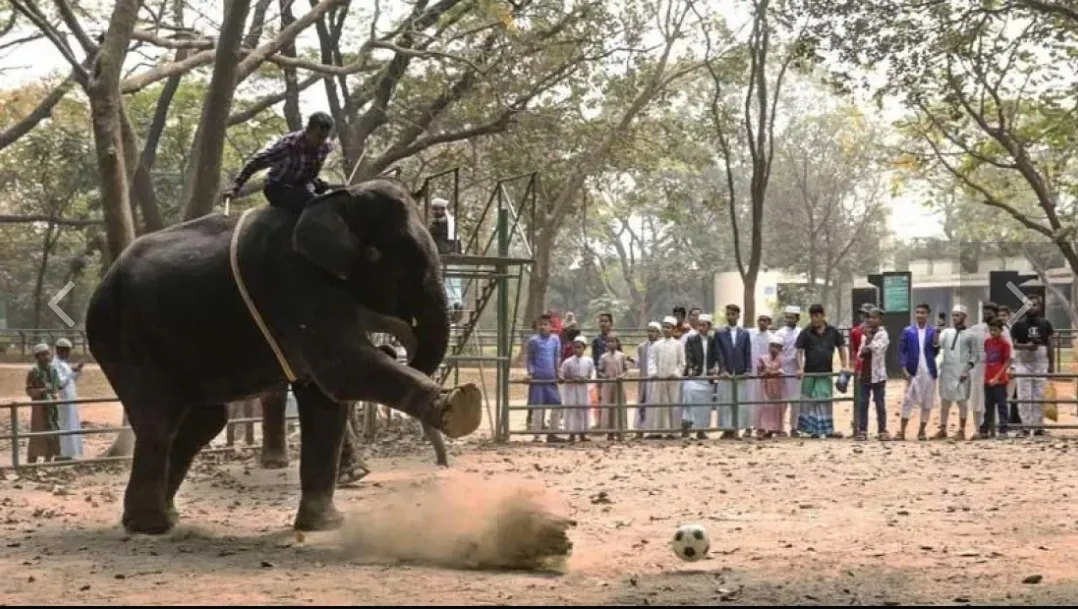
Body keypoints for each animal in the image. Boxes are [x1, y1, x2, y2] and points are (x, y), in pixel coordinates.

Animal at [85, 179, 482, 535]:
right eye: (384, 254)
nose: (395, 346)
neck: (339, 195)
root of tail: (102, 284)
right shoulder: (295, 279)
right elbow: (343, 369)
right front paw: (462, 406)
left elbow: (325, 396)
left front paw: (325, 525)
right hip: (124, 339)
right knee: (160, 420)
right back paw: (152, 525)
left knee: (203, 420)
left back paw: (163, 517)